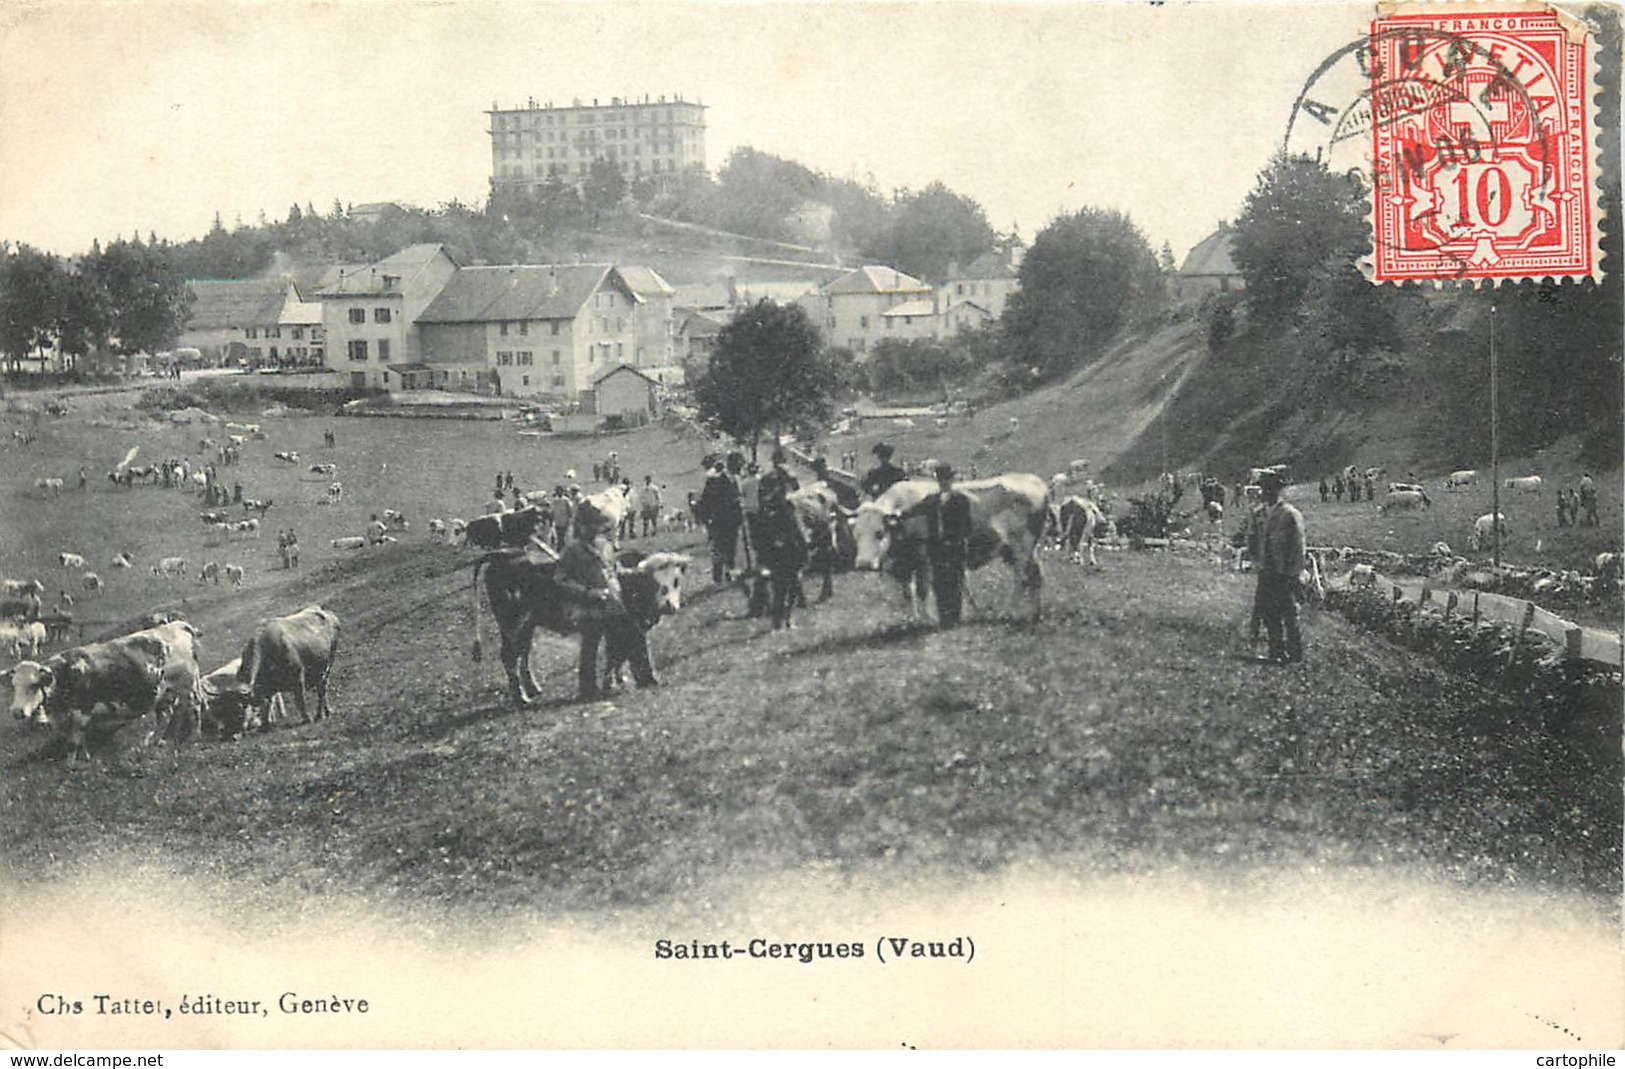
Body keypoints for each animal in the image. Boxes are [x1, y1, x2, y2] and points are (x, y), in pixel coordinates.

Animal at [851, 471, 1053, 617]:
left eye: (879, 533)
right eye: (856, 534)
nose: (863, 564)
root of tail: (1036, 482)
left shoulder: (924, 561)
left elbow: (923, 591)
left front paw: (927, 619)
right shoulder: (904, 568)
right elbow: (908, 593)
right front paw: (912, 619)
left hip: (1020, 547)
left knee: (1022, 579)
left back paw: (1008, 612)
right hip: (1022, 550)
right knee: (1036, 576)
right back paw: (1035, 613)